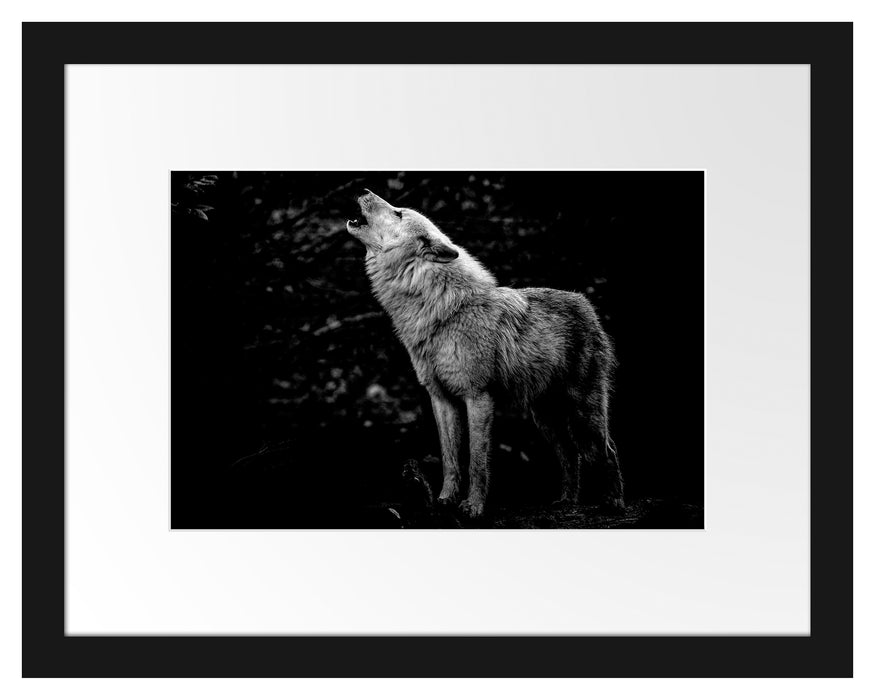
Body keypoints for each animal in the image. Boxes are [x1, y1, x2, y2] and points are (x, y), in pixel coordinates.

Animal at [347, 190, 624, 519]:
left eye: (398, 212)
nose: (364, 191)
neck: (441, 310)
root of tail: (585, 303)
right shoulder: (440, 399)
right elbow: (450, 458)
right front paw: (445, 500)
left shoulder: (477, 396)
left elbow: (476, 460)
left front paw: (473, 507)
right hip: (545, 416)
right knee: (570, 453)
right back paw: (567, 501)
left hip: (583, 411)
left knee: (607, 450)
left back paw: (614, 504)